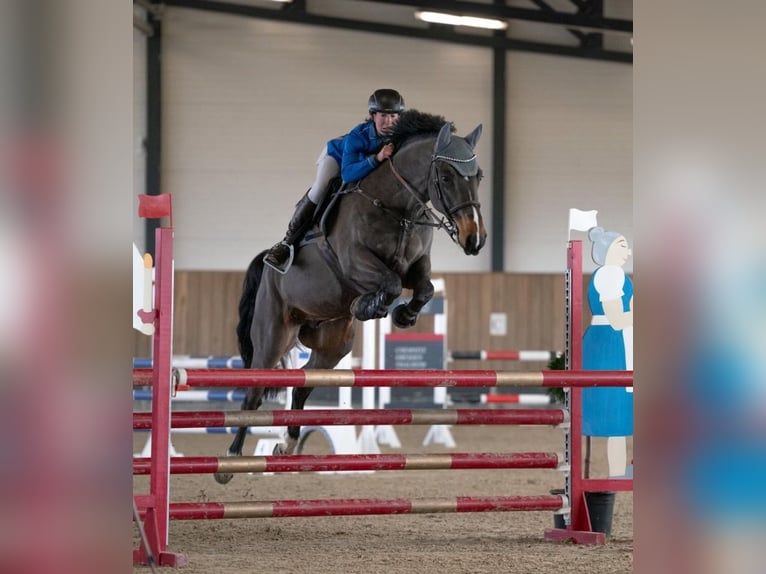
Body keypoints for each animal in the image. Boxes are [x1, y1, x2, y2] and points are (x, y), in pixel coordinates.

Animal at [214, 109, 486, 486]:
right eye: (445, 176)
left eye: (479, 176)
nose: (474, 239)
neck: (397, 207)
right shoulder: (353, 261)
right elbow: (389, 283)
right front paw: (369, 304)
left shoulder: (417, 265)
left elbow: (425, 288)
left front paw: (401, 314)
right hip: (273, 336)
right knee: (254, 394)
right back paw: (231, 460)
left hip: (333, 344)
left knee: (302, 385)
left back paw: (287, 444)